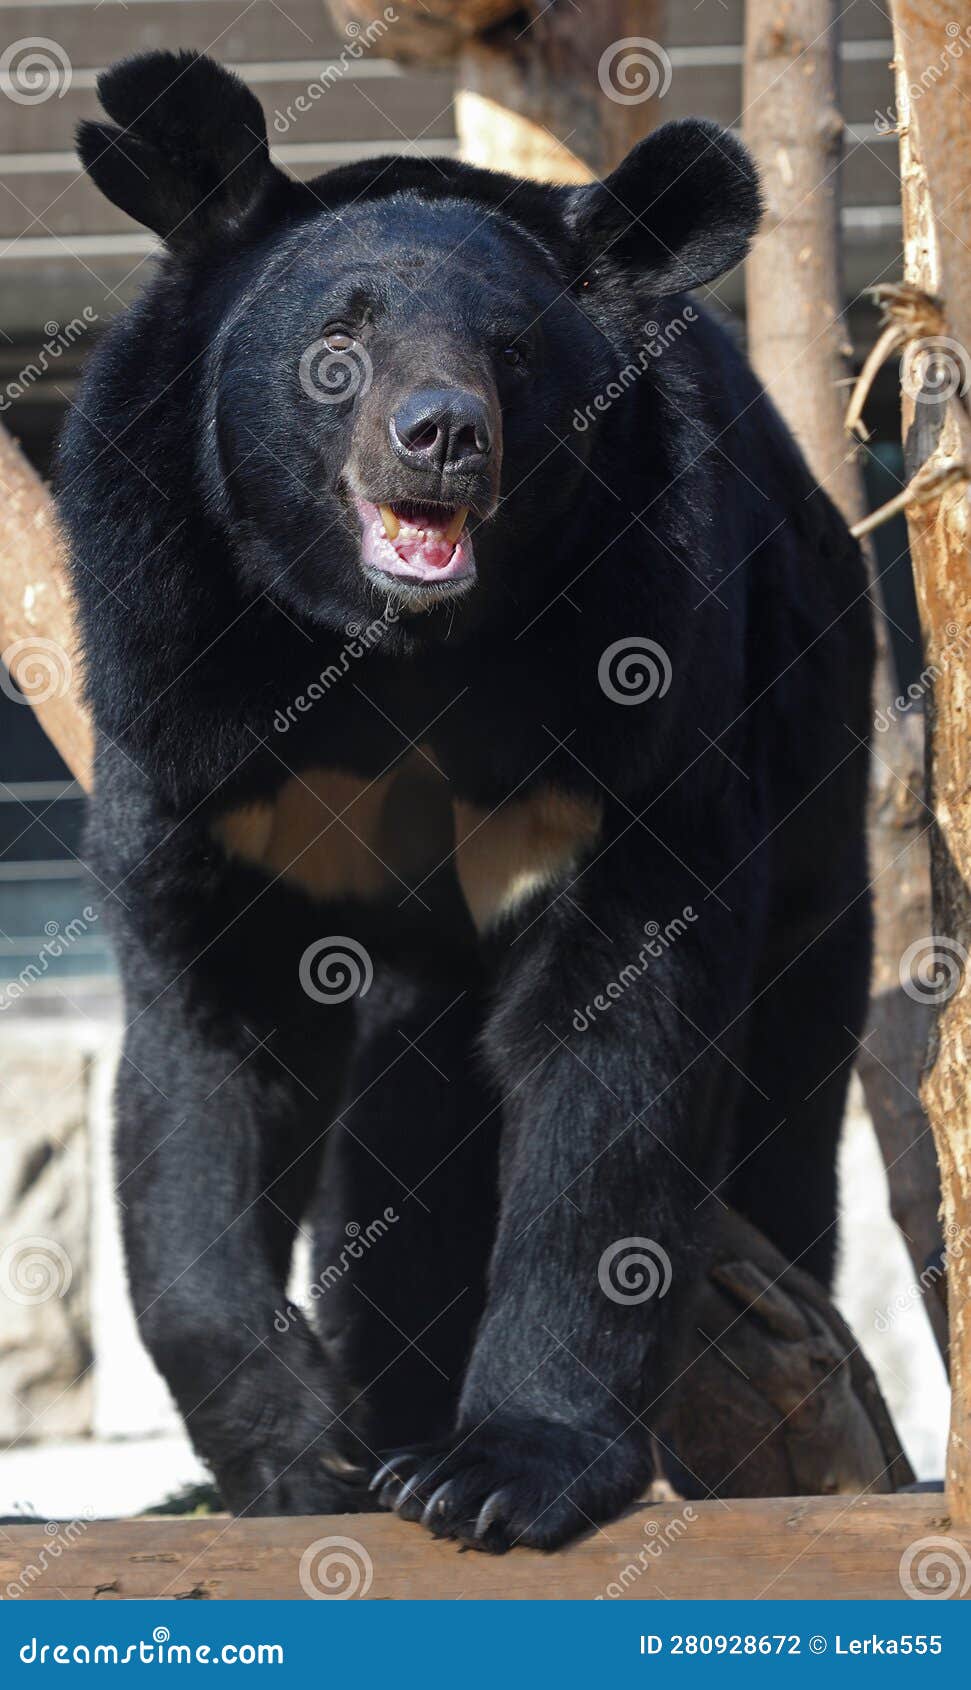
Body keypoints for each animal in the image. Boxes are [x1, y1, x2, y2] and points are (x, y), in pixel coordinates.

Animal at [56, 46, 878, 1548]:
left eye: (511, 354)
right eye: (336, 348)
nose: (438, 437)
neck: (394, 645)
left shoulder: (636, 702)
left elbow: (613, 1070)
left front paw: (494, 1473)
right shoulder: (188, 715)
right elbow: (206, 1071)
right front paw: (294, 1455)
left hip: (819, 784)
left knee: (786, 1108)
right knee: (398, 1160)